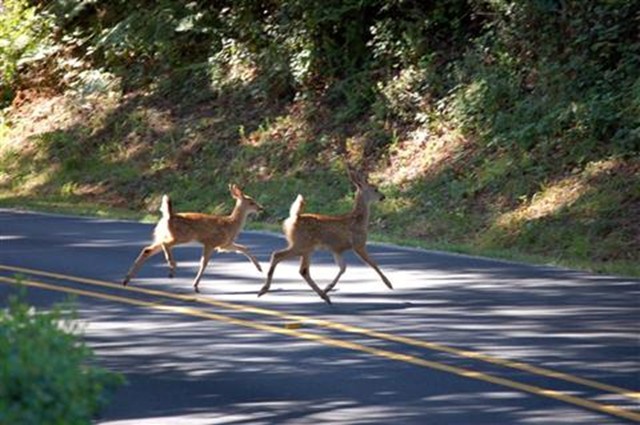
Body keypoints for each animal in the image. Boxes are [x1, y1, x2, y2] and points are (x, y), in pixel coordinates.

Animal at [122, 184, 262, 294]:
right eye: (251, 202)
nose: (260, 208)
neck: (231, 224)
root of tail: (169, 216)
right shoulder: (212, 242)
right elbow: (204, 263)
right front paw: (195, 285)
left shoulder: (225, 244)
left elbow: (244, 248)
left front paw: (259, 268)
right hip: (182, 236)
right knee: (165, 244)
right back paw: (172, 267)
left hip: (164, 235)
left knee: (147, 249)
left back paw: (126, 280)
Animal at [258, 167, 392, 304]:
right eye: (375, 189)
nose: (383, 196)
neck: (359, 220)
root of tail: (294, 218)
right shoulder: (358, 244)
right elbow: (373, 263)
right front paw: (388, 284)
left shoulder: (337, 249)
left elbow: (343, 268)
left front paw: (328, 287)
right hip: (302, 244)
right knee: (278, 255)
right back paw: (264, 289)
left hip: (305, 248)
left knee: (303, 270)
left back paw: (324, 295)